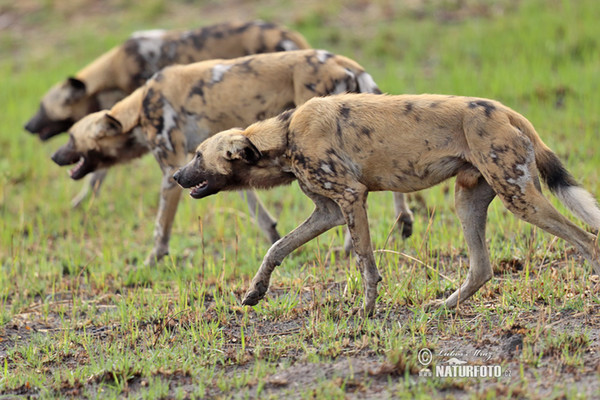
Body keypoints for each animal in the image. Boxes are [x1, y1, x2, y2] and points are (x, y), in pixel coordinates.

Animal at [51, 50, 412, 266]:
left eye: (71, 138)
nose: (54, 156)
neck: (139, 108)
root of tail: (349, 64)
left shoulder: (171, 170)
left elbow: (159, 229)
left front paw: (152, 261)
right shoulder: (216, 164)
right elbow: (255, 208)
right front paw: (273, 238)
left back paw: (355, 245)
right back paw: (402, 223)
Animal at [172, 92, 600, 314]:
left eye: (198, 156)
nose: (176, 176)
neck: (285, 136)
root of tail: (508, 111)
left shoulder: (350, 198)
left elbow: (366, 265)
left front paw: (365, 312)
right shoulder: (327, 212)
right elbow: (276, 248)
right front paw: (255, 293)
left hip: (519, 198)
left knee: (588, 240)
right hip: (469, 200)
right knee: (481, 268)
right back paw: (443, 306)